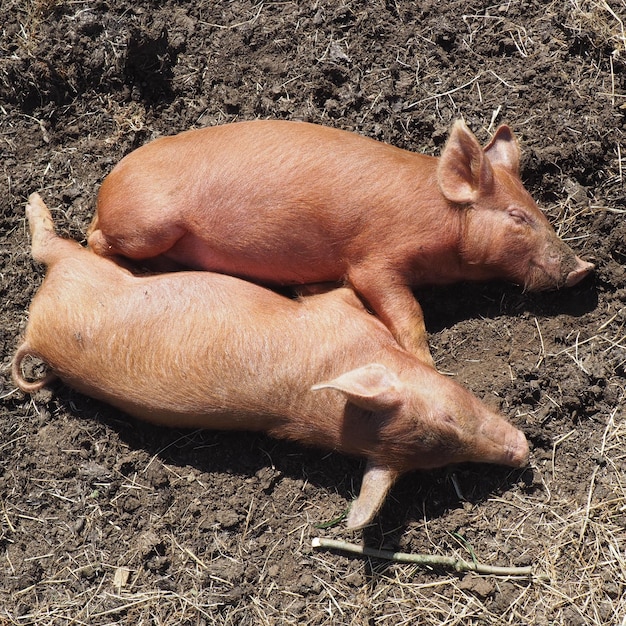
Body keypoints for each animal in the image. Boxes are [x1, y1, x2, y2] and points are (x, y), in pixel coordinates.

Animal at [14, 194, 528, 528]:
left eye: (437, 463)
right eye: (447, 419)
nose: (523, 451)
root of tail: (34, 333)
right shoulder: (341, 316)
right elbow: (334, 292)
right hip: (84, 268)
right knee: (49, 247)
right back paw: (35, 202)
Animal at [88, 119, 588, 364]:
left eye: (540, 211)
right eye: (517, 216)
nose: (585, 268)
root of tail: (105, 190)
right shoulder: (375, 259)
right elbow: (408, 313)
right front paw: (429, 365)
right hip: (147, 225)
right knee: (97, 242)